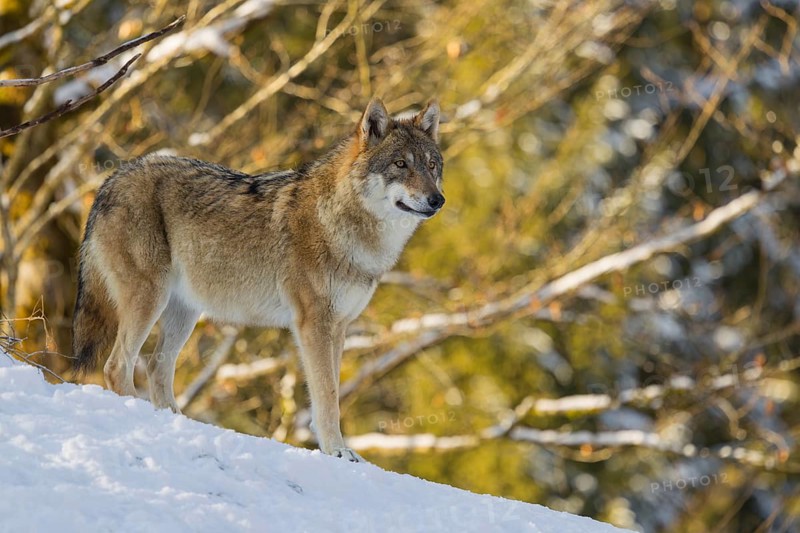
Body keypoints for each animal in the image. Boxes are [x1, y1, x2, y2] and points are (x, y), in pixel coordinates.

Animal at [72, 98, 444, 462]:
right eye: (400, 164)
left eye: (431, 166)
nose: (437, 200)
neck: (342, 223)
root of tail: (114, 177)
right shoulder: (313, 324)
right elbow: (327, 396)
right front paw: (337, 451)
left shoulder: (339, 326)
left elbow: (331, 393)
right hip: (150, 300)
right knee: (117, 366)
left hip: (183, 313)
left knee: (155, 369)